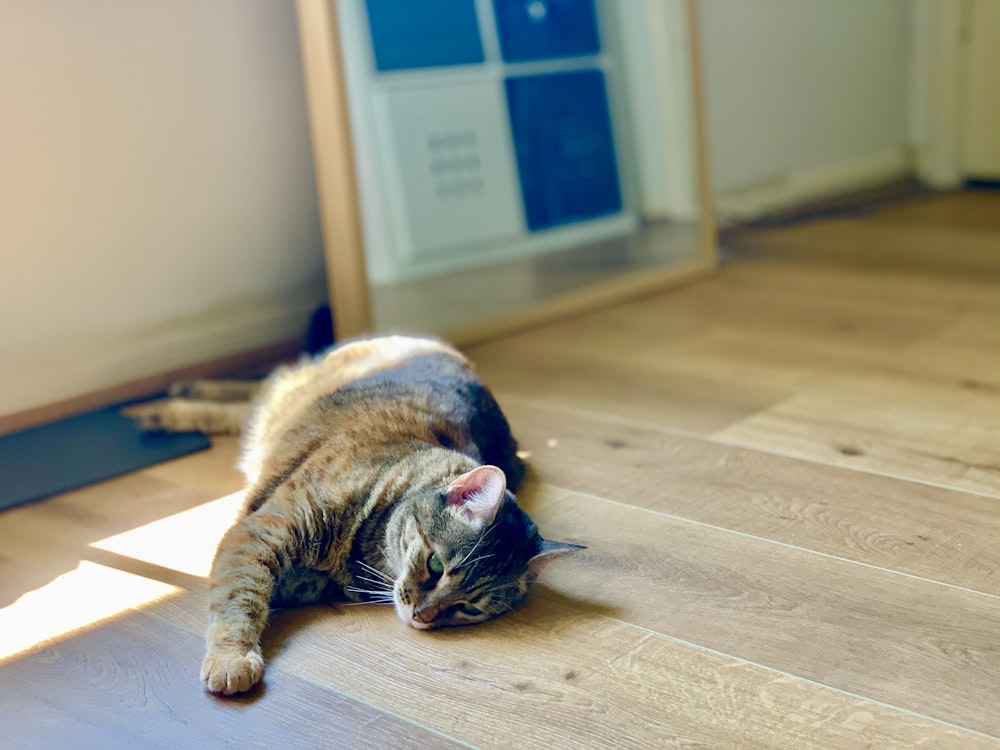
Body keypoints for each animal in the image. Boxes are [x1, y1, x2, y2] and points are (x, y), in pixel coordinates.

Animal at [126, 338, 584, 696]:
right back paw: (167, 401)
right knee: (253, 390)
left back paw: (163, 408)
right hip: (283, 399)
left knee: (239, 411)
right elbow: (241, 599)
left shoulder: (296, 576)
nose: (423, 616)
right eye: (436, 566)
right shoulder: (260, 531)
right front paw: (232, 659)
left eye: (468, 608)